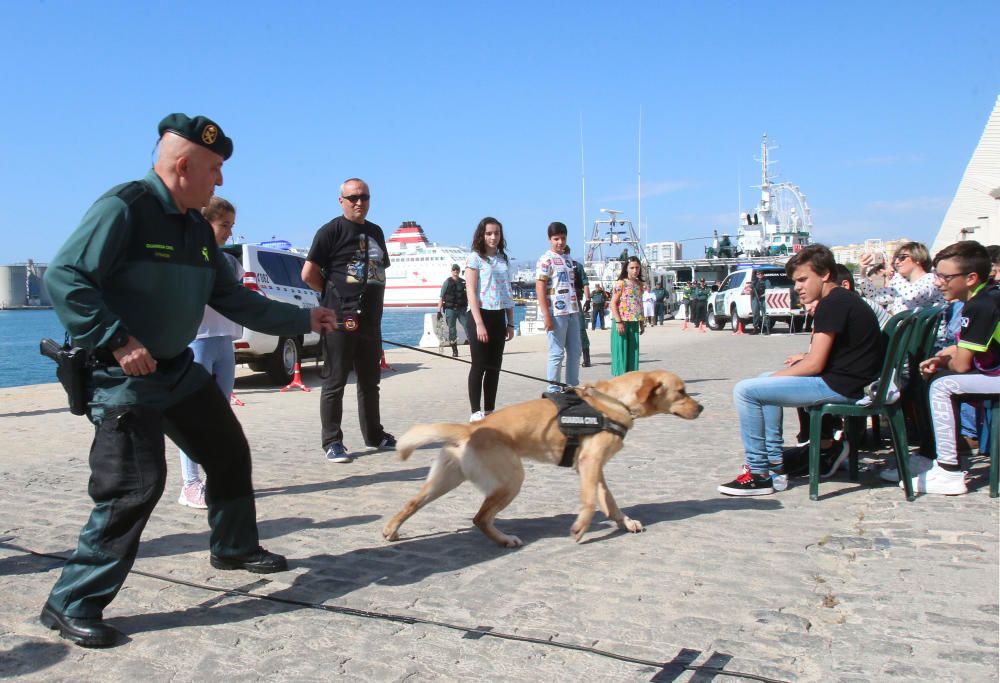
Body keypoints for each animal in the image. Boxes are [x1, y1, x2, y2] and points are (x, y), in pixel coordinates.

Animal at [382, 372, 704, 548]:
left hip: (444, 481)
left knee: (413, 503)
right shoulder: (589, 462)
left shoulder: (592, 467)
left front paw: (624, 522)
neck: (614, 402)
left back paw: (391, 530)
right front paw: (581, 527)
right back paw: (505, 540)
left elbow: (608, 499)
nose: (701, 408)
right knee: (480, 518)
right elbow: (590, 501)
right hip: (512, 480)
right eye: (681, 391)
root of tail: (471, 428)